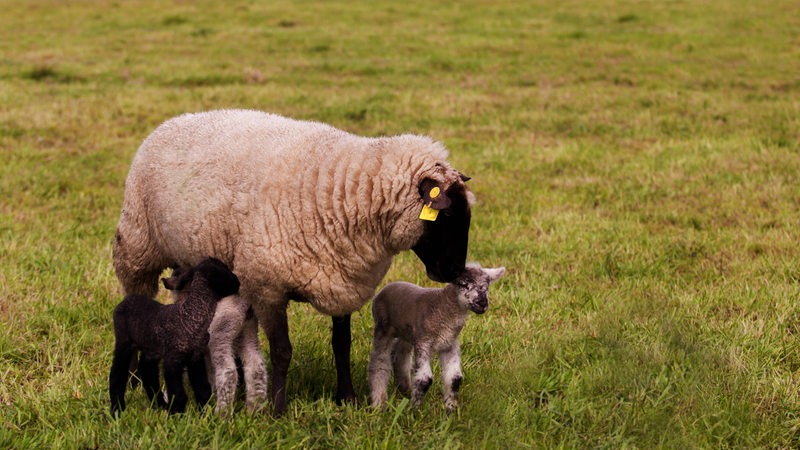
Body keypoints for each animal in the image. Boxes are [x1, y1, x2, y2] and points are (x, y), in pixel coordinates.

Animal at [109, 258, 241, 416]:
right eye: (223, 271)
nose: (238, 282)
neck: (191, 317)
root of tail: (127, 300)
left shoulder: (195, 358)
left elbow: (203, 389)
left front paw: (203, 413)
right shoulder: (172, 360)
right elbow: (178, 395)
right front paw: (177, 414)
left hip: (151, 348)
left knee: (147, 371)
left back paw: (159, 404)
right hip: (123, 340)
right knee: (117, 373)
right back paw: (117, 409)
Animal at [370, 264, 506, 414]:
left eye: (486, 286)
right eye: (463, 284)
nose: (482, 303)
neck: (442, 307)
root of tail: (383, 290)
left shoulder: (449, 343)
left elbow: (455, 379)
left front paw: (450, 410)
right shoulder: (423, 341)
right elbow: (425, 379)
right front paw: (414, 411)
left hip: (406, 333)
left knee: (400, 356)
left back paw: (405, 390)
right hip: (383, 328)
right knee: (379, 362)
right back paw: (379, 403)